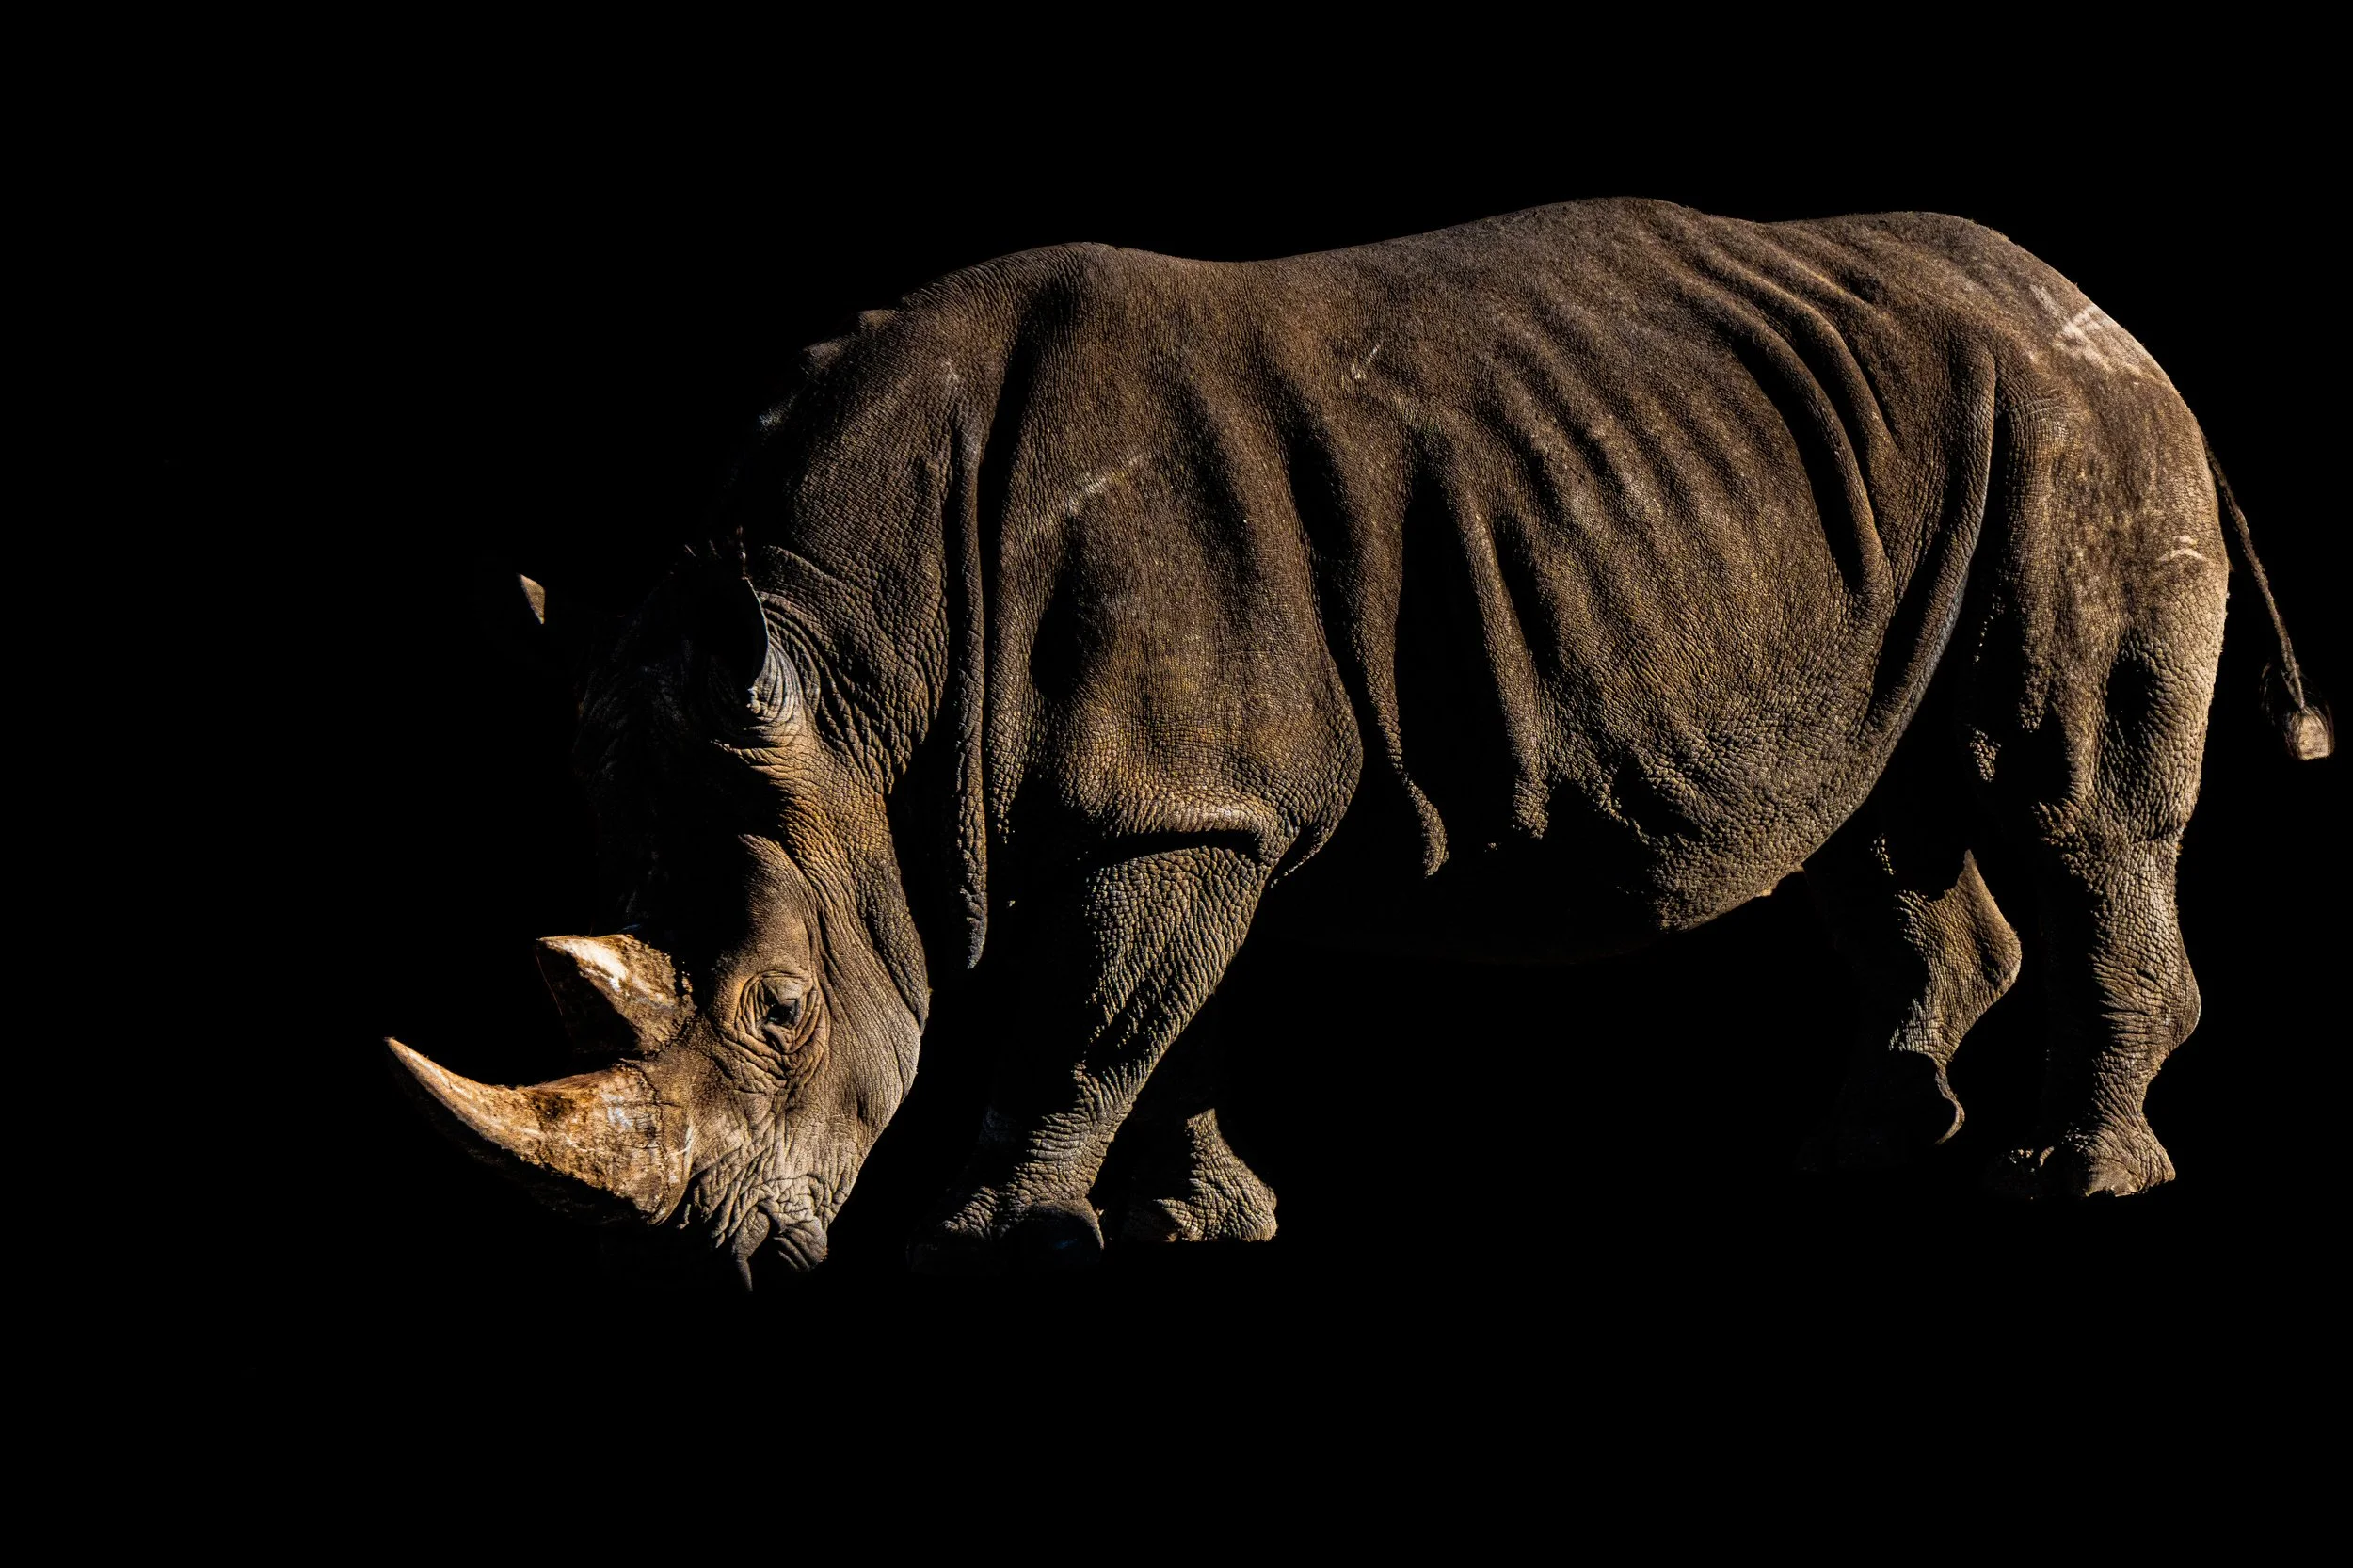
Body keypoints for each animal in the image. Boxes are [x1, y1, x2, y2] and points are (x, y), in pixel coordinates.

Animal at [388, 198, 2331, 1282]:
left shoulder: (1173, 808)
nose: (714, 1261)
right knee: (1866, 817)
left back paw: (2068, 1186)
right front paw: (1195, 1229)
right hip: (1907, 462)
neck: (863, 672)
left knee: (2071, 809)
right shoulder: (1207, 808)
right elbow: (1169, 1026)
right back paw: (1862, 1154)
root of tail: (2121, 325)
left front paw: (985, 1239)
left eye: (786, 1013)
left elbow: (1088, 1024)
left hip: (2074, 439)